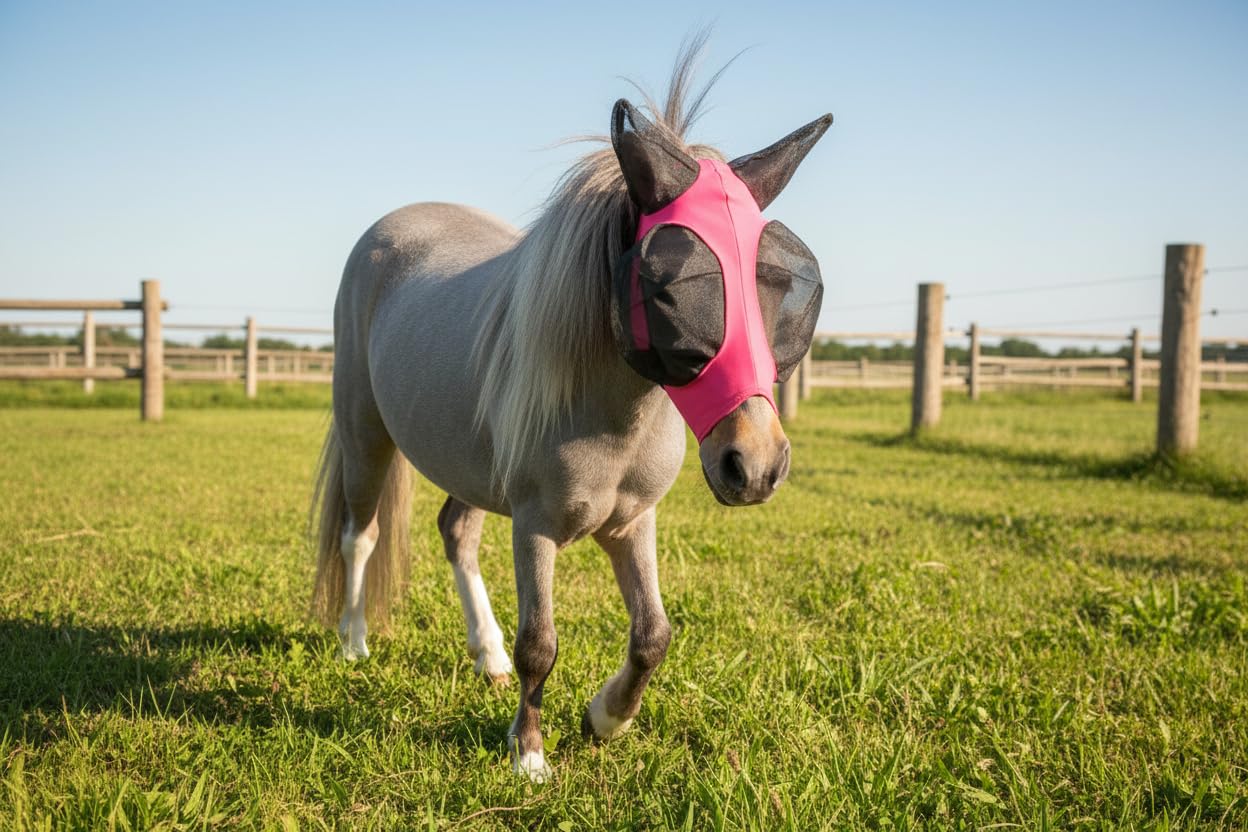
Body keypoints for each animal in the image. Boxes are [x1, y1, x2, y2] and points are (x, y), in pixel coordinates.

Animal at [311, 50, 831, 782]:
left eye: (784, 287)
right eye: (672, 288)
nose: (754, 466)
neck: (615, 416)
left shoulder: (631, 524)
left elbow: (653, 634)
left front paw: (606, 718)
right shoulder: (534, 528)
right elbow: (542, 642)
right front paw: (529, 754)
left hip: (470, 468)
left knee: (455, 533)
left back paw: (487, 654)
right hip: (366, 433)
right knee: (361, 533)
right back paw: (354, 641)